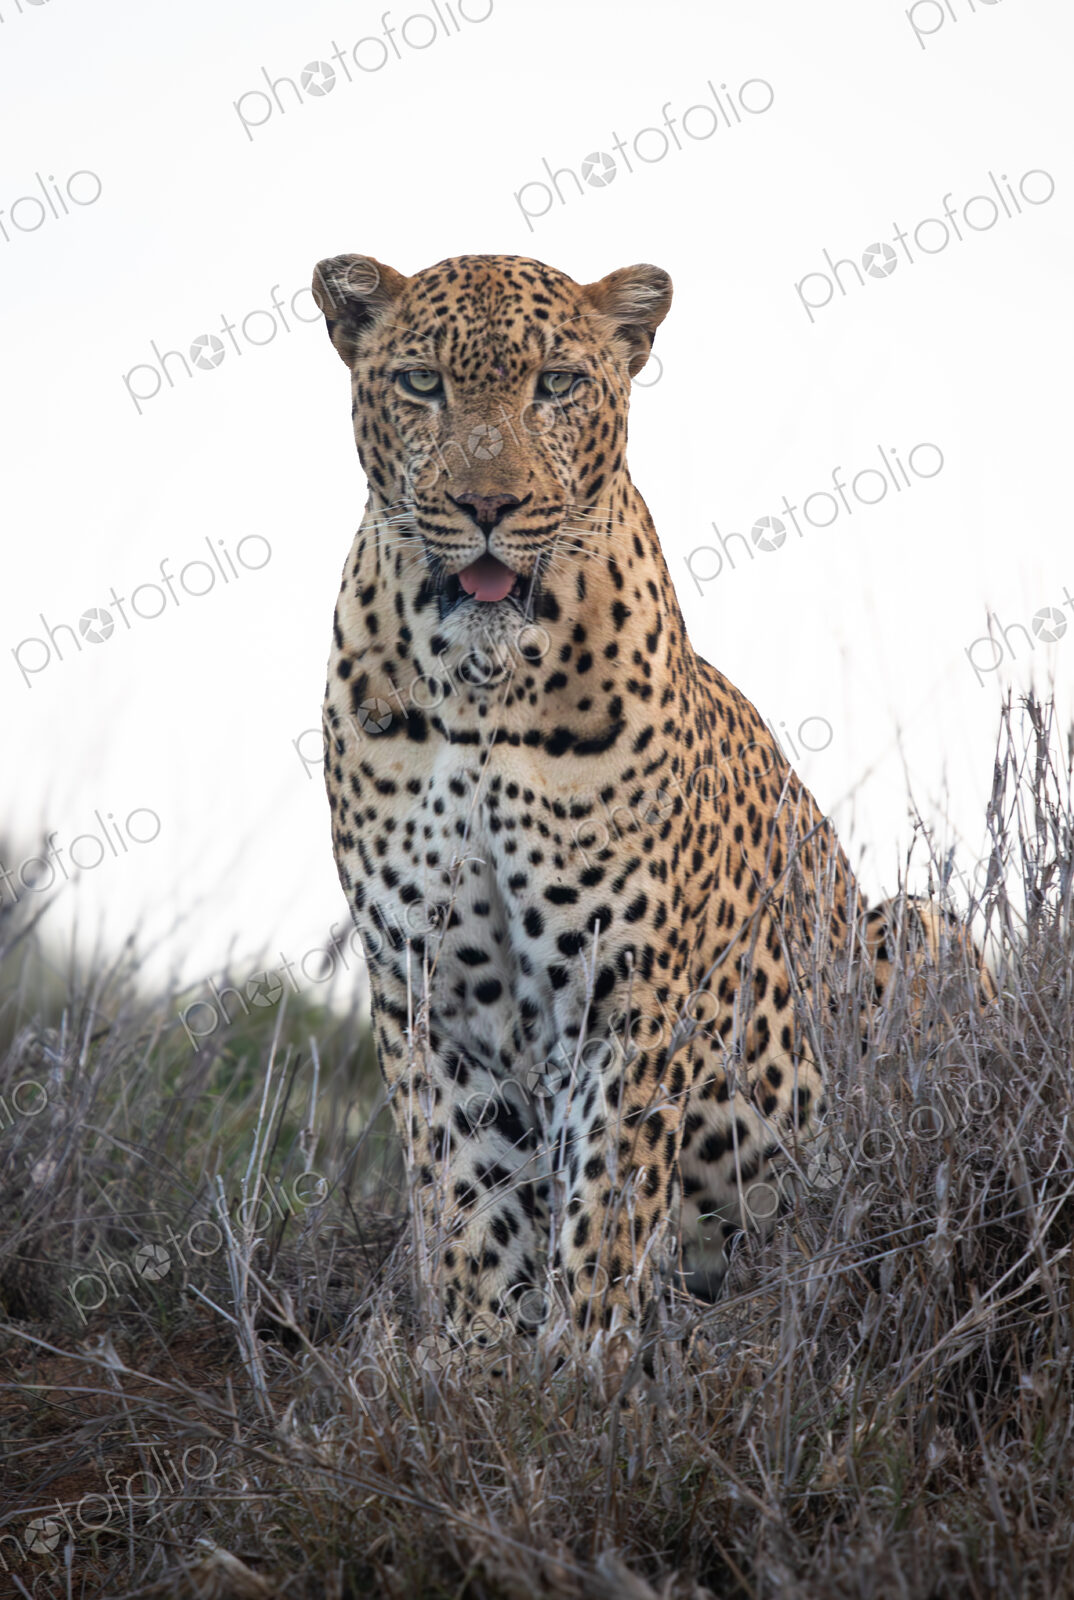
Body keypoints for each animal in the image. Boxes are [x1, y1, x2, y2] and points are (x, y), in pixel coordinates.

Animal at [313, 250, 992, 1368]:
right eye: (421, 383)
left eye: (556, 384)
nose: (488, 503)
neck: (480, 689)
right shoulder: (425, 984)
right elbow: (467, 1192)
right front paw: (480, 1368)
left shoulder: (623, 981)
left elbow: (608, 1193)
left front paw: (581, 1365)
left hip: (921, 926)